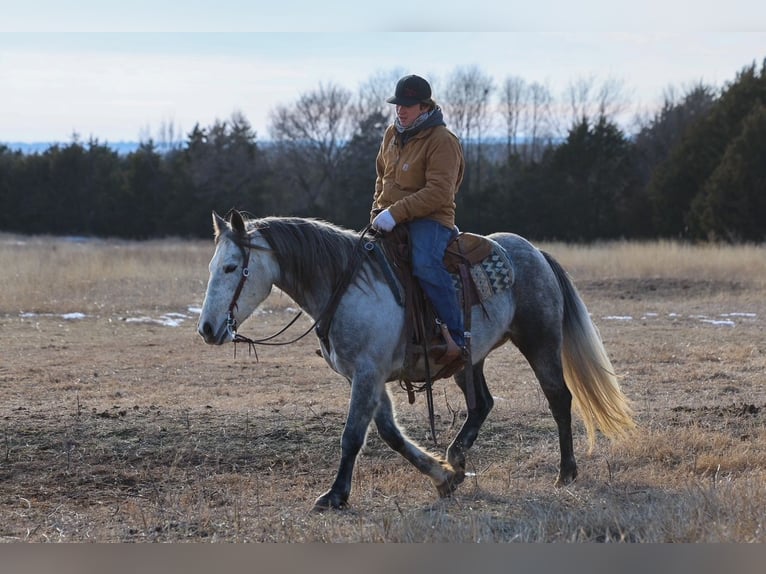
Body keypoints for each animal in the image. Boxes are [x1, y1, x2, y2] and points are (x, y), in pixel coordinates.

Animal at [197, 210, 635, 511]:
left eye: (232, 267)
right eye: (212, 266)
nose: (207, 328)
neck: (347, 285)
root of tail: (536, 252)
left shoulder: (368, 373)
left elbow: (352, 435)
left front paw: (336, 495)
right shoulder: (366, 377)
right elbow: (389, 433)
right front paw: (442, 476)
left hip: (539, 341)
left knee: (559, 399)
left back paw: (566, 472)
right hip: (470, 360)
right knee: (482, 404)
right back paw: (457, 457)